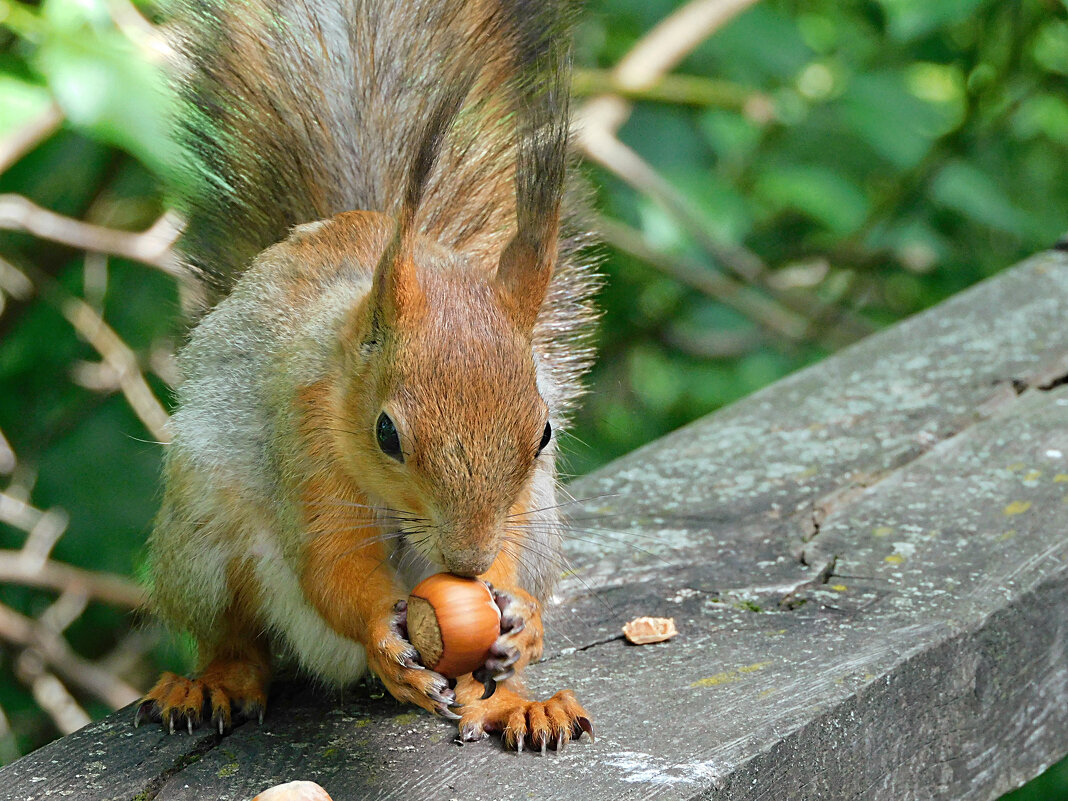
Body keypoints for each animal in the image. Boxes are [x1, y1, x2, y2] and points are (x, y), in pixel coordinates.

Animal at [134, 0, 598, 752]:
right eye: (387, 435)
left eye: (546, 433)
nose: (468, 562)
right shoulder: (304, 431)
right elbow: (330, 561)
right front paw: (386, 635)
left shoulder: (521, 510)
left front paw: (522, 623)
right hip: (200, 542)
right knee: (237, 638)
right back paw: (212, 683)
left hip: (544, 537)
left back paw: (520, 703)